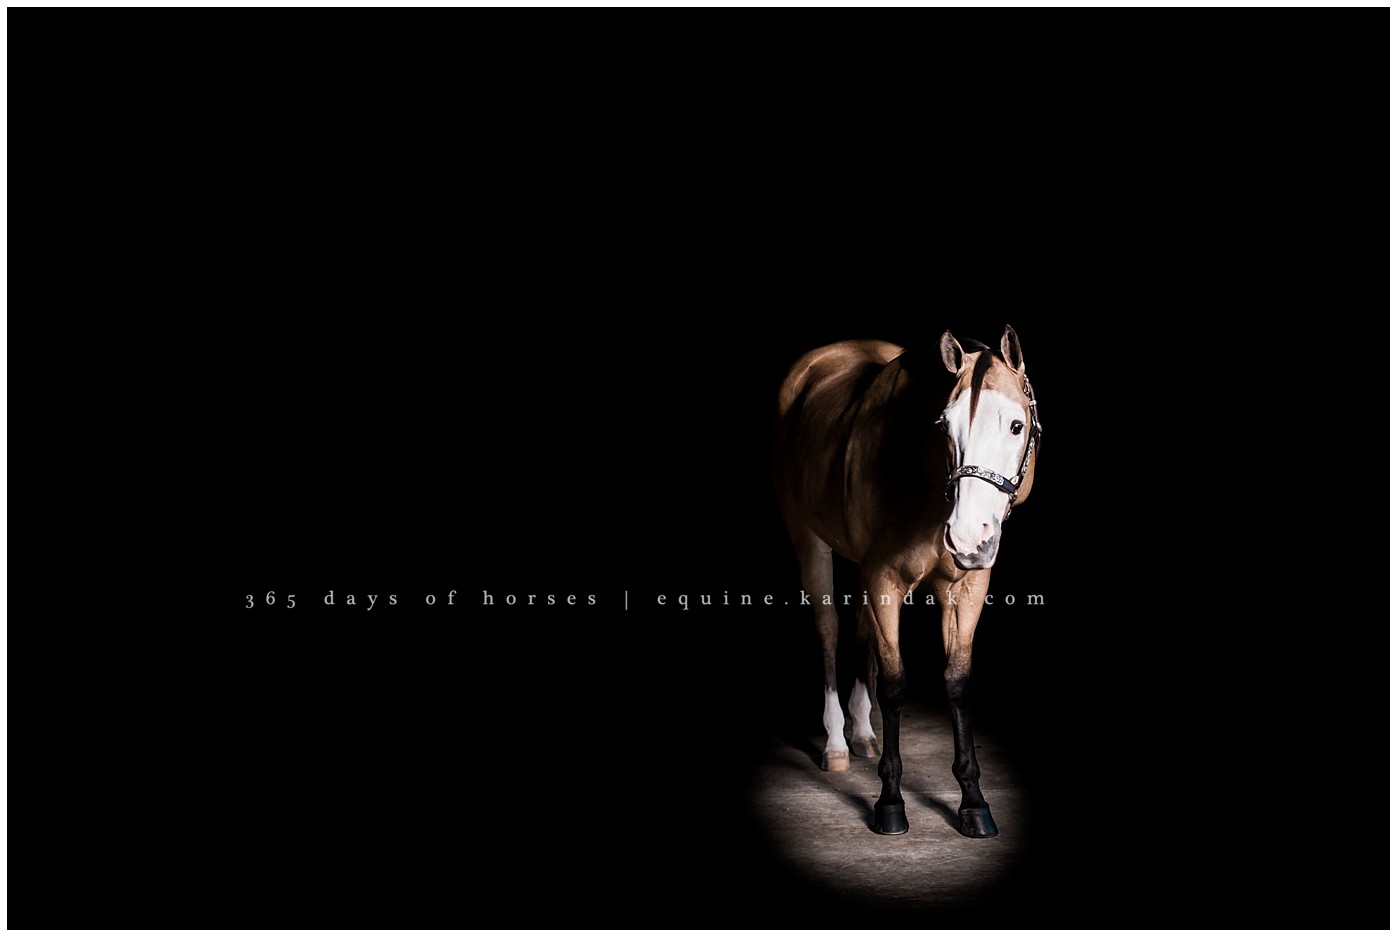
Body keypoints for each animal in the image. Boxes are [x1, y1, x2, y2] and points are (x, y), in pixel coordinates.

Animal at [773, 325, 1041, 838]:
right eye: (944, 427)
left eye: (1016, 426)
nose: (966, 536)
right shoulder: (885, 581)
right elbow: (895, 684)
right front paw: (890, 802)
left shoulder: (966, 590)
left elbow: (957, 682)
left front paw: (974, 803)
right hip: (807, 538)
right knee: (829, 630)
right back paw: (837, 742)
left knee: (861, 632)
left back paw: (862, 733)